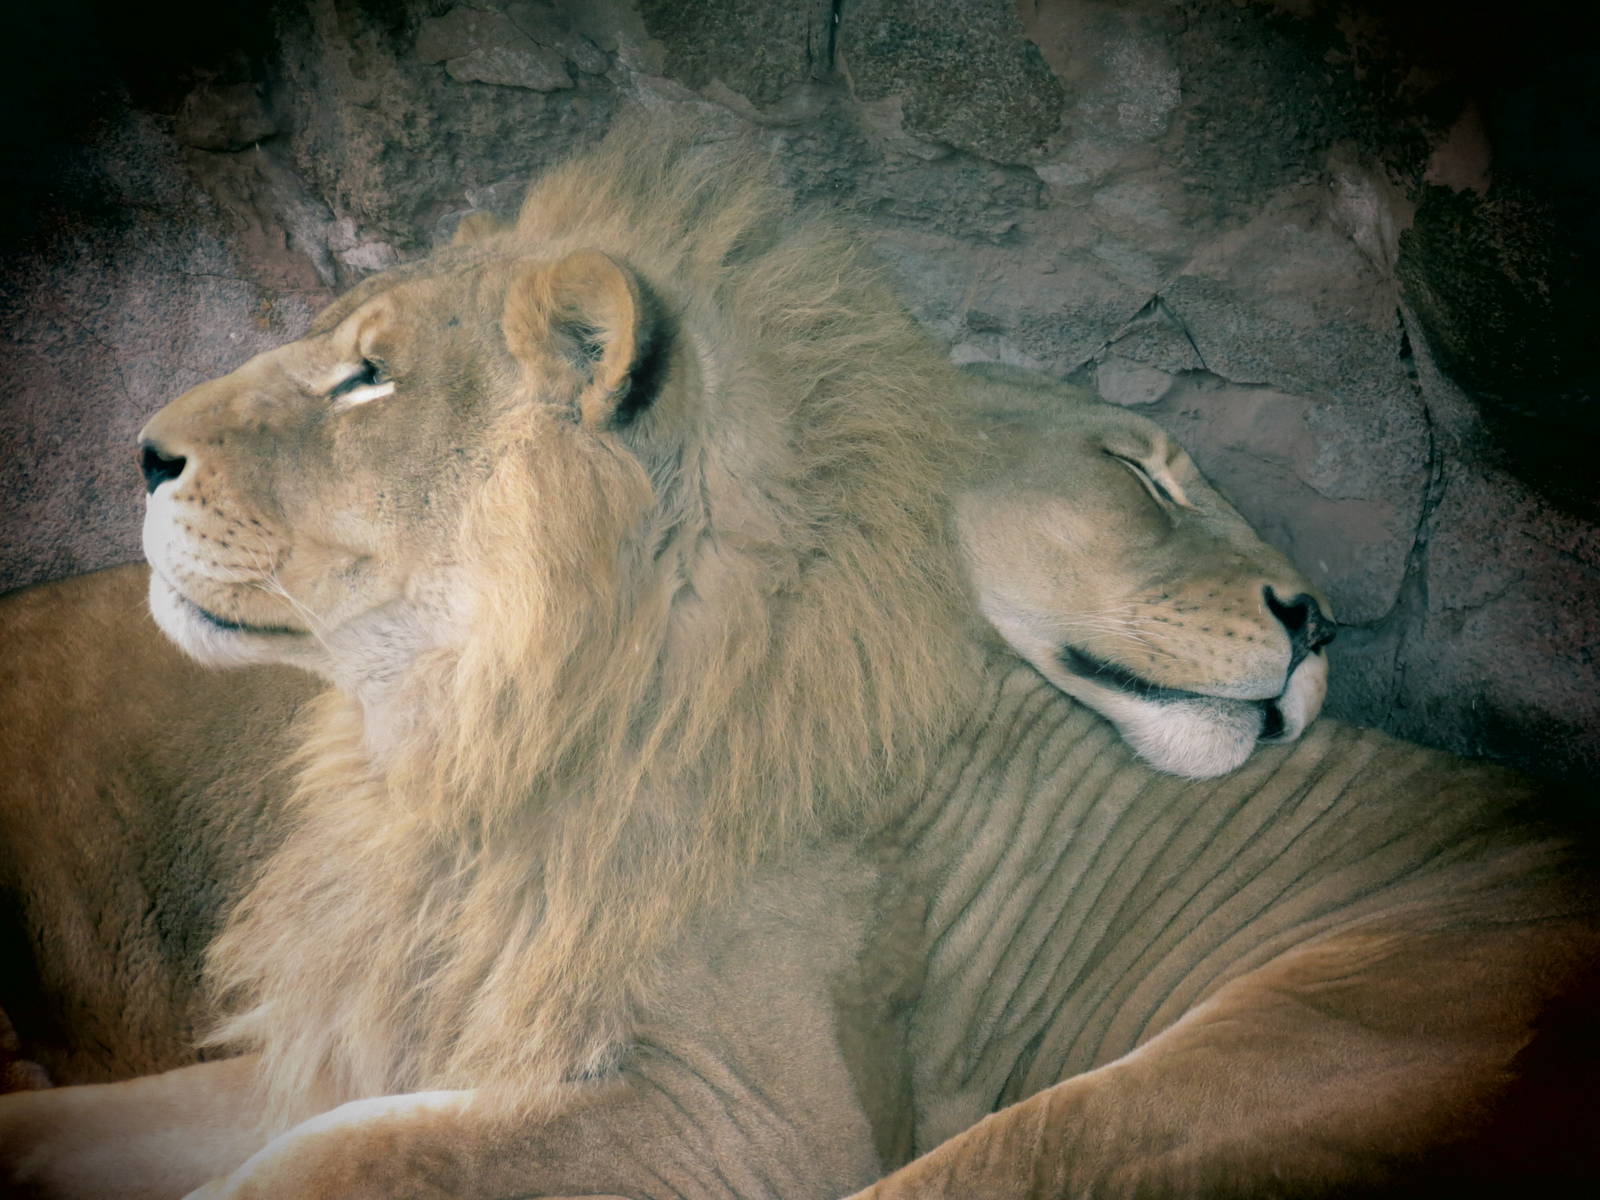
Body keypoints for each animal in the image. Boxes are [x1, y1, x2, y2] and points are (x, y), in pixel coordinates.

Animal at [2, 124, 1596, 1199]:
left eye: (368, 378)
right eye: (1139, 477)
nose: (140, 451)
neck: (463, 741)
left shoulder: (744, 1115)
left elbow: (336, 1167)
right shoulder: (374, 1038)